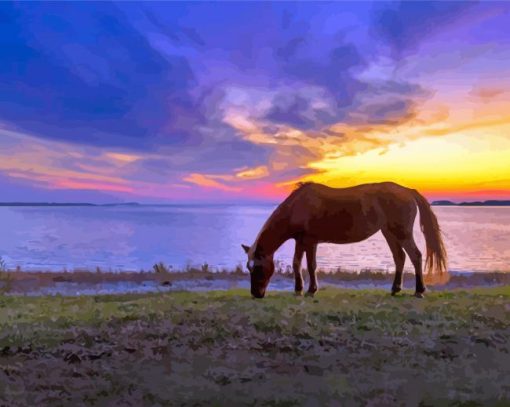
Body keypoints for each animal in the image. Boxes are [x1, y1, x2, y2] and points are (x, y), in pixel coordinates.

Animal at [243, 182, 446, 300]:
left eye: (257, 268)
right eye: (249, 268)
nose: (256, 294)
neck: (297, 206)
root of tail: (408, 191)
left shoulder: (310, 241)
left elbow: (311, 265)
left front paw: (311, 290)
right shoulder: (300, 241)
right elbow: (296, 264)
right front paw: (298, 289)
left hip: (402, 233)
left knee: (415, 256)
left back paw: (419, 291)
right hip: (389, 233)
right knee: (399, 258)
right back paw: (395, 289)